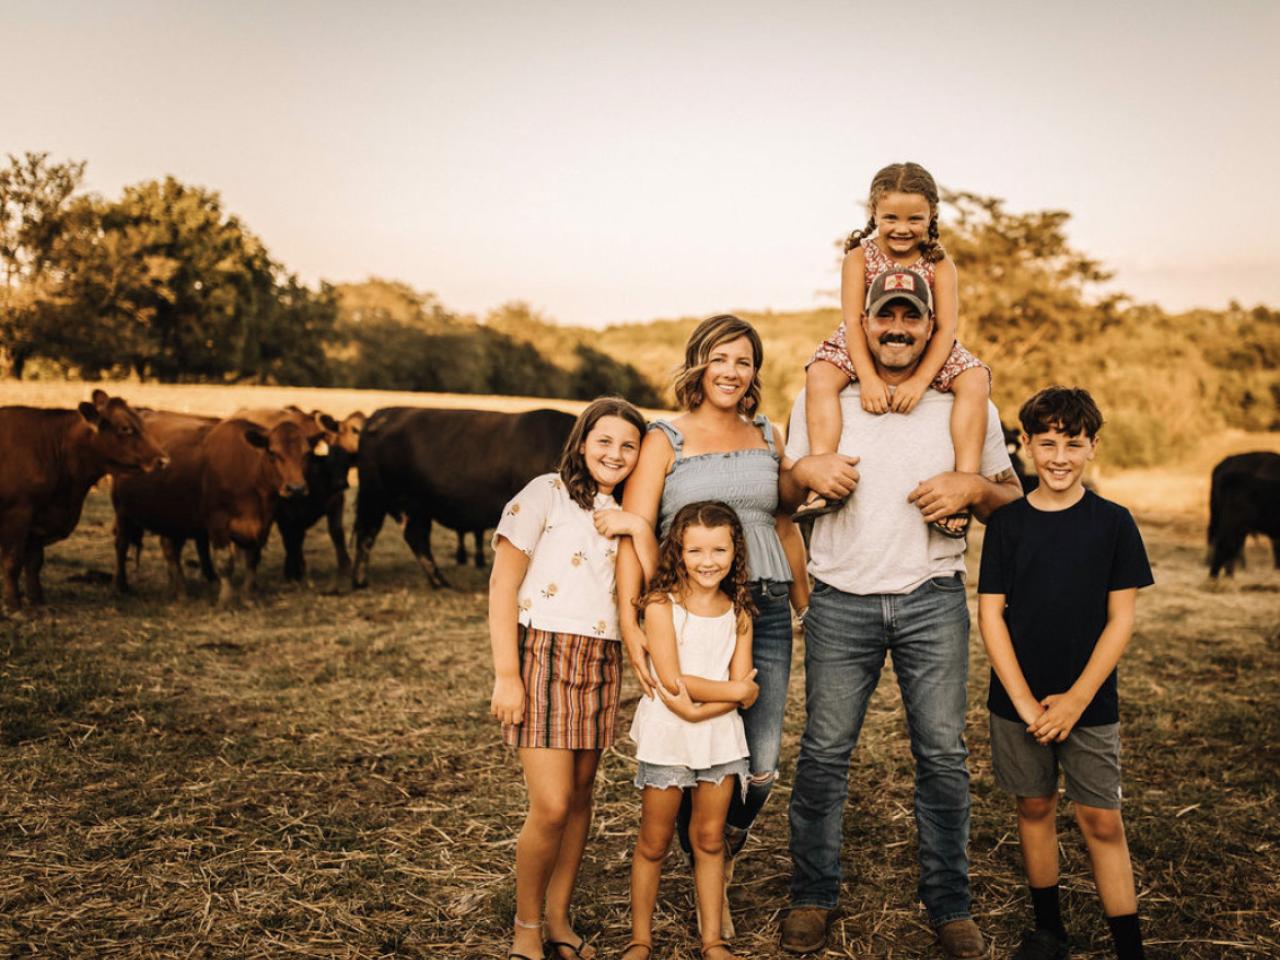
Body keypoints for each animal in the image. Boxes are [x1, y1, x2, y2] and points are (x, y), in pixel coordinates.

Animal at [0, 389, 167, 609]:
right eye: (125, 428)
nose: (163, 460)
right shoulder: (18, 513)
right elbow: (13, 561)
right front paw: (14, 604)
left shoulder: (39, 519)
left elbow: (34, 562)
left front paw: (37, 601)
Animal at [115, 414, 314, 609]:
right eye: (272, 452)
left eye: (306, 453)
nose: (296, 488)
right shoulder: (217, 521)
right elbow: (225, 562)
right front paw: (225, 600)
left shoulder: (263, 523)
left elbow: (253, 559)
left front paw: (248, 596)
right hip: (122, 511)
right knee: (122, 544)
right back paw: (122, 586)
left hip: (174, 518)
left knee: (170, 549)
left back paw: (179, 591)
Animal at [348, 407, 573, 591]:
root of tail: (383, 414)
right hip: (375, 497)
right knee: (368, 533)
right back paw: (360, 581)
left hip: (416, 506)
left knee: (415, 536)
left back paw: (439, 581)